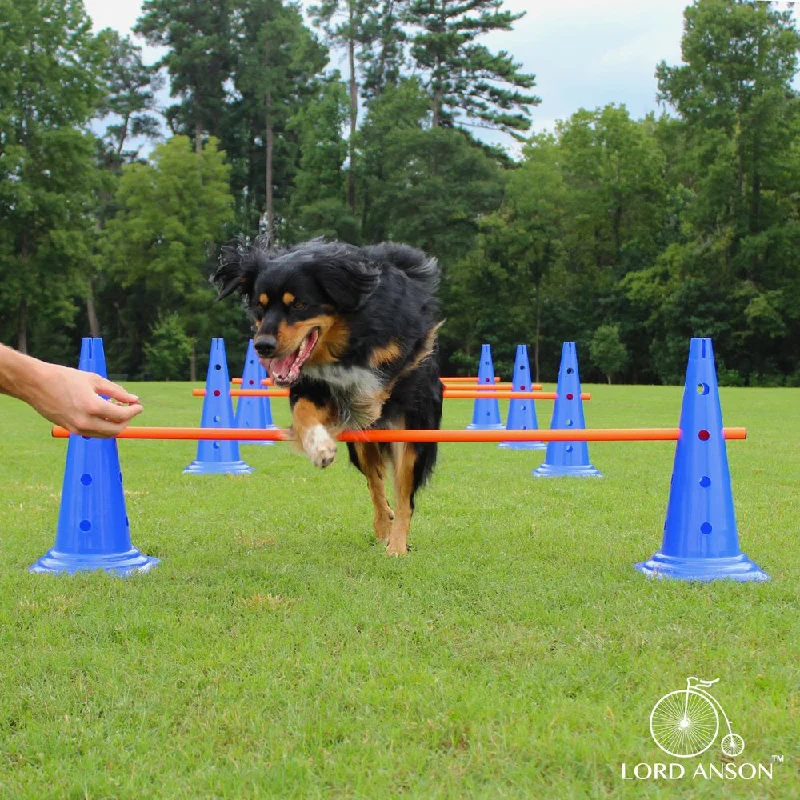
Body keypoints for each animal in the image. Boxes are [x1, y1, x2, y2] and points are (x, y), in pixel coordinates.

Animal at [212, 234, 444, 552]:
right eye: (260, 306)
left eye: (299, 304)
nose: (263, 346)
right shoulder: (309, 384)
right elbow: (304, 414)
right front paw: (319, 447)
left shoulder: (404, 346)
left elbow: (377, 381)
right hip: (361, 447)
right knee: (375, 482)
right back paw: (383, 526)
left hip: (413, 433)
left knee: (404, 494)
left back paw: (396, 546)